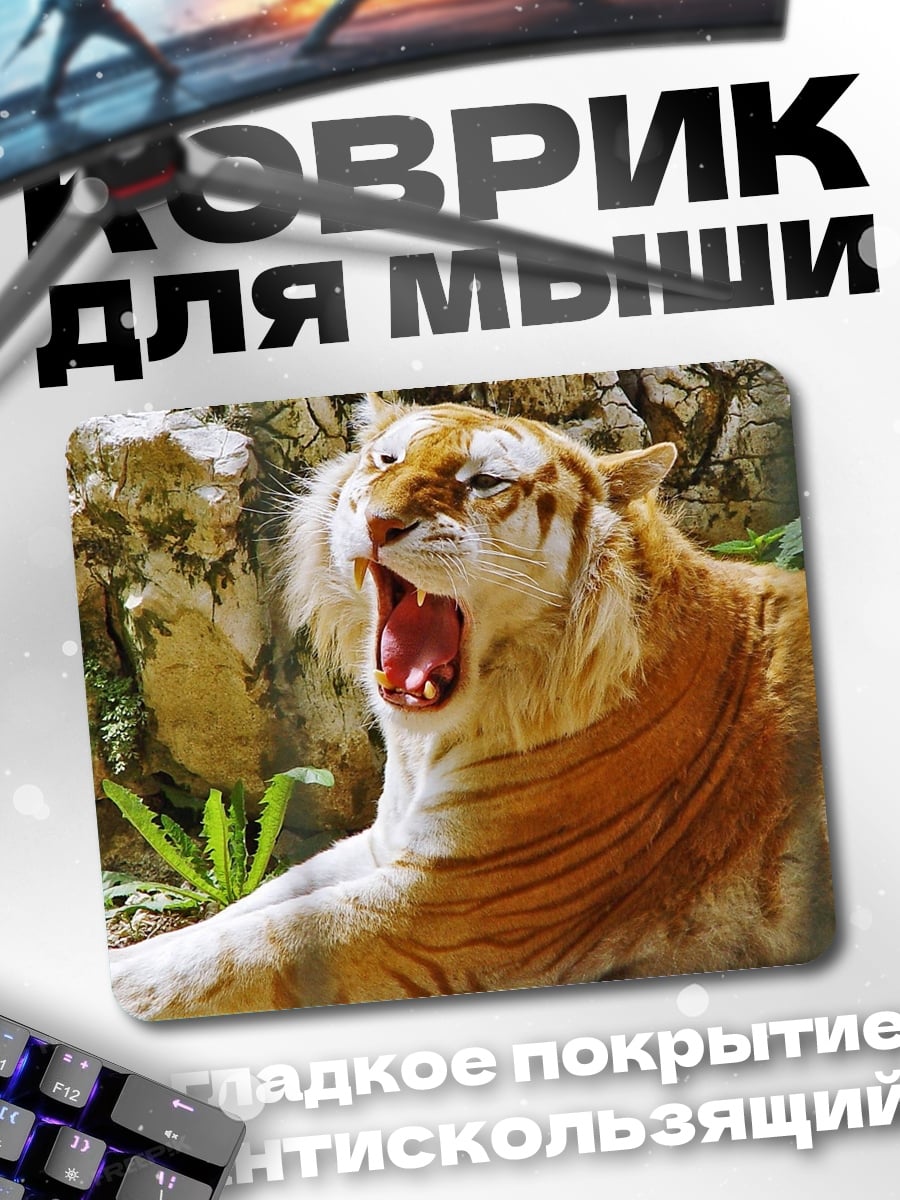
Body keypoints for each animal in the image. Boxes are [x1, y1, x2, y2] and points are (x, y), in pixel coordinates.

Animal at [109, 394, 833, 1020]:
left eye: (484, 481)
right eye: (387, 459)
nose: (379, 522)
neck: (424, 745)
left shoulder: (444, 906)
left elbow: (231, 954)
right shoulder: (387, 847)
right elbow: (241, 914)